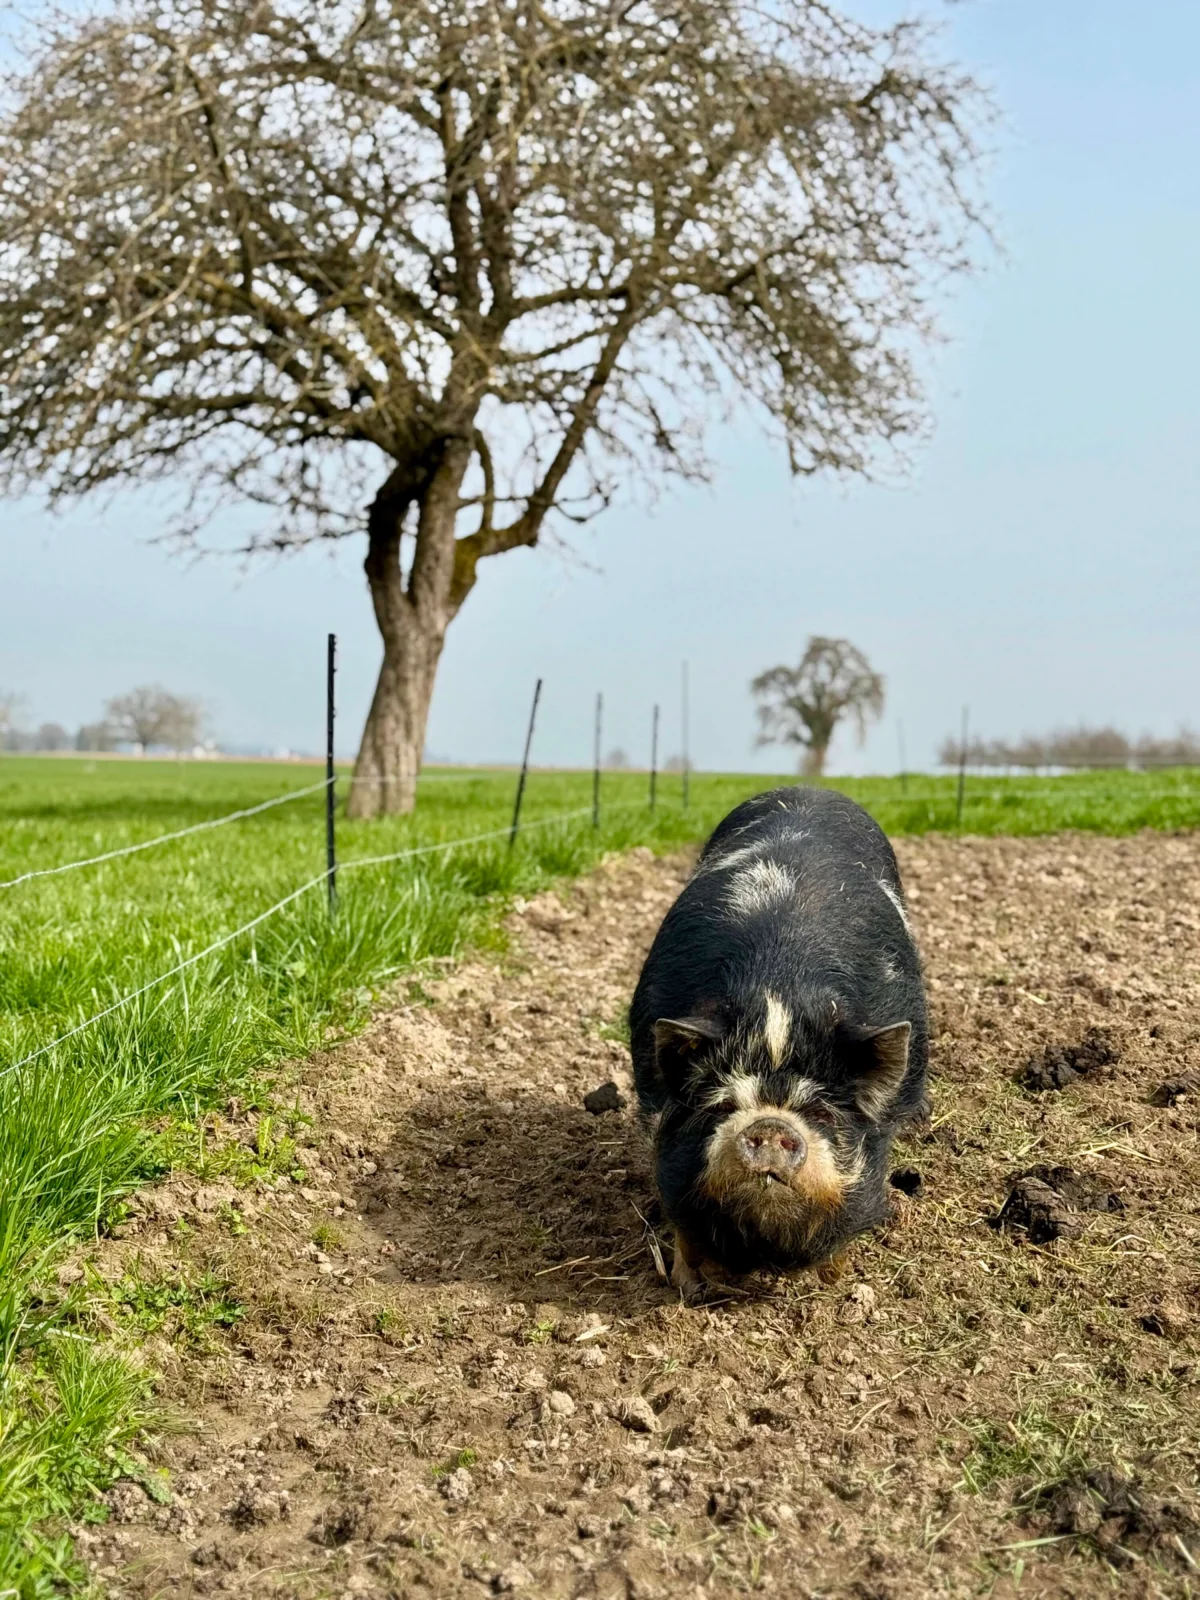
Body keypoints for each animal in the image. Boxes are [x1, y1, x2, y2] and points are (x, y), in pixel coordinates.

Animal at [630, 785, 928, 1301]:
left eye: (821, 1113)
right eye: (723, 1107)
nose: (770, 1126)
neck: (777, 1004)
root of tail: (809, 789)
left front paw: (833, 1283)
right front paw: (690, 1290)